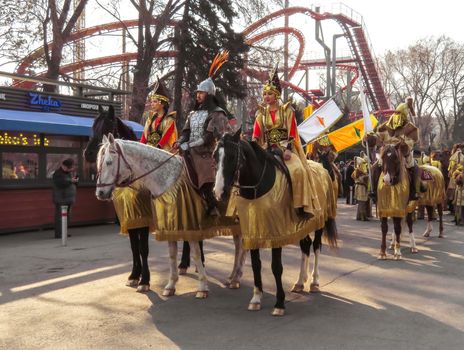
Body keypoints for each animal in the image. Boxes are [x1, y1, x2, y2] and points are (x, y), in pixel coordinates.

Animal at [95, 134, 245, 298]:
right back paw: (233, 276)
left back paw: (235, 278)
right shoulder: (161, 224)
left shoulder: (182, 222)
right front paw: (169, 285)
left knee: (241, 247)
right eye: (98, 163)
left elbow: (193, 253)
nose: (100, 193)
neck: (168, 180)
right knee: (239, 246)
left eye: (109, 162)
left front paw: (202, 286)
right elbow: (168, 254)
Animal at [214, 130, 338, 316]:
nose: (219, 192)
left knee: (316, 246)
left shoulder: (277, 231)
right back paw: (300, 282)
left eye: (231, 156)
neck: (257, 188)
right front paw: (256, 298)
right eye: (215, 156)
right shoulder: (253, 231)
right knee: (306, 246)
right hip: (301, 226)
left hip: (319, 221)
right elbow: (256, 265)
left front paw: (280, 303)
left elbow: (276, 266)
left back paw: (314, 282)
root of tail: (322, 169)